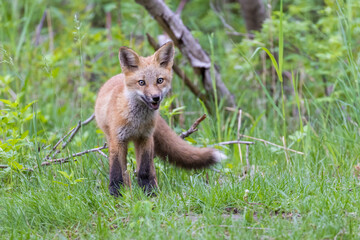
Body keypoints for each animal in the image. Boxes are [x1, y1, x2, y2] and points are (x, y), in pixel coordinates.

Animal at [94, 41, 222, 197]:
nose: (156, 97)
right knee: (125, 172)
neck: (136, 122)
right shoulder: (117, 139)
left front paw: (149, 193)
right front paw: (116, 195)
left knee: (149, 169)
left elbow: (144, 171)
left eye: (159, 80)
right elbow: (116, 172)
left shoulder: (145, 137)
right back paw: (128, 192)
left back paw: (153, 189)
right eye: (141, 82)